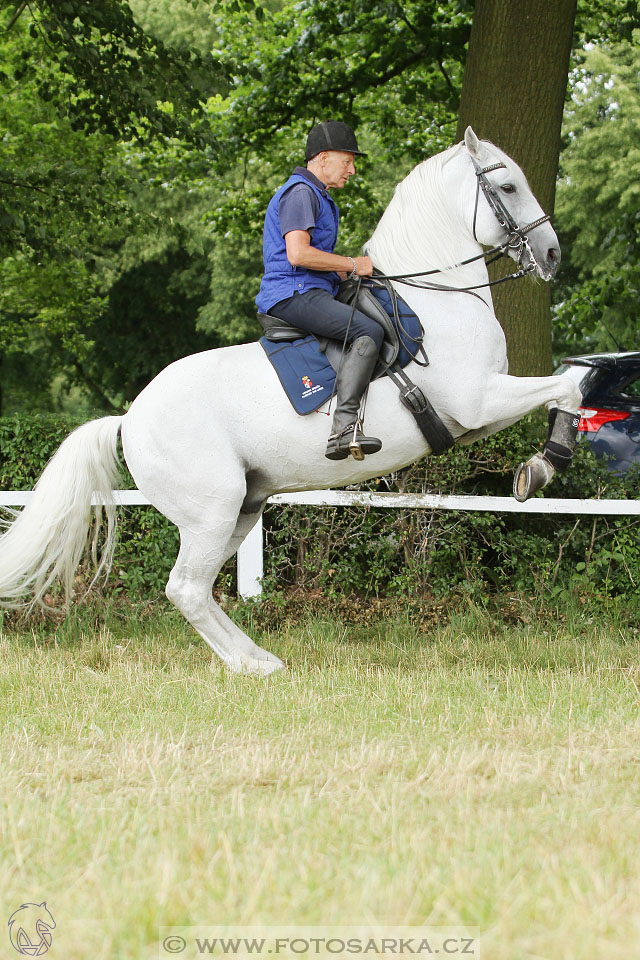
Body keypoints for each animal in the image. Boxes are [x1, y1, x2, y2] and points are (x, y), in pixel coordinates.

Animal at [0, 127, 580, 676]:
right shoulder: (480, 398)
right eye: (509, 187)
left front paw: (539, 464)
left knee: (197, 588)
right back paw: (251, 666)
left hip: (242, 507)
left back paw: (257, 658)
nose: (553, 255)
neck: (438, 300)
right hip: (212, 511)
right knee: (185, 588)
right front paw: (543, 467)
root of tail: (128, 419)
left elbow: (564, 388)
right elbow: (569, 385)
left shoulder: (477, 417)